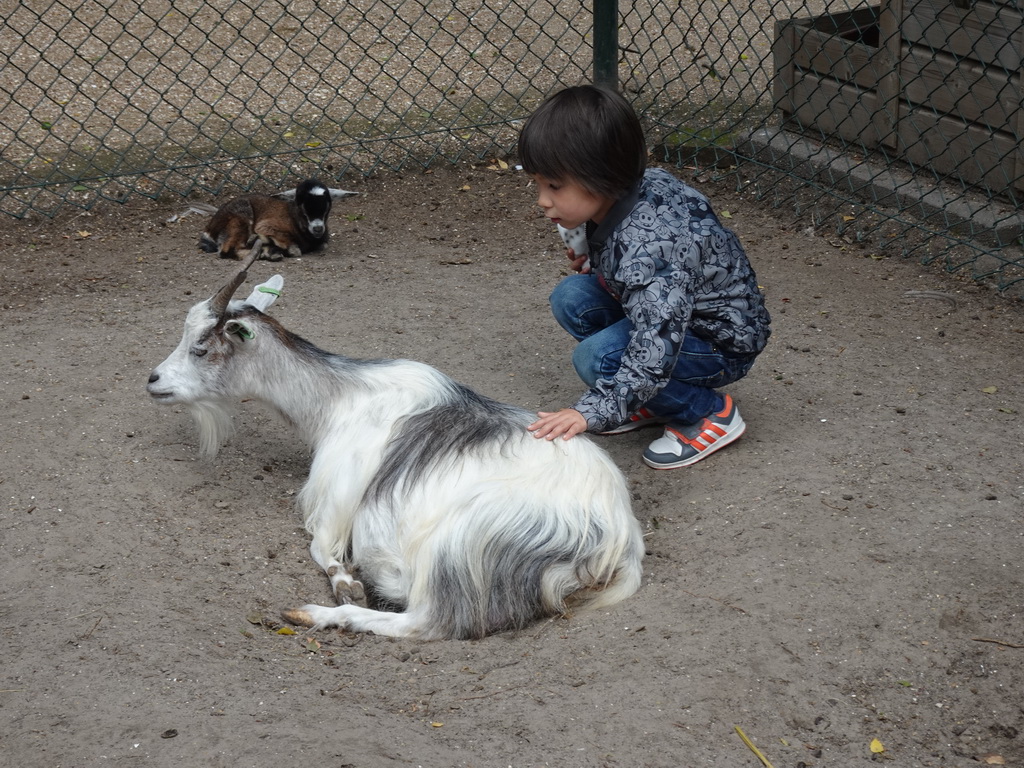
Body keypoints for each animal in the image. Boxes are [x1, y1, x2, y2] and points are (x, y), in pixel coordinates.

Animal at [146, 262, 638, 638]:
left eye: (200, 347)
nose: (153, 380)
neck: (340, 400)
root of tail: (620, 538)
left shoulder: (338, 495)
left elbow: (320, 548)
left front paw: (347, 582)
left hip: (461, 545)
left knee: (428, 622)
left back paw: (314, 613)